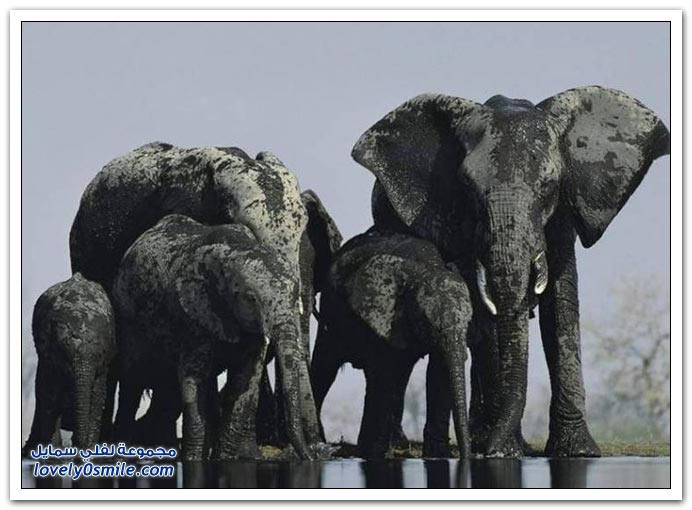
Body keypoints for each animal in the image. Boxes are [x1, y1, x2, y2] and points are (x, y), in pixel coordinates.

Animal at [23, 273, 116, 455]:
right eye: (63, 355)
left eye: (99, 354)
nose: (78, 445)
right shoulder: (48, 356)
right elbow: (50, 395)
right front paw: (53, 453)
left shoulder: (104, 362)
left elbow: (98, 396)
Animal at [111, 214, 318, 460]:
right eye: (251, 299)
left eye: (296, 295)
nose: (312, 458)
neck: (236, 250)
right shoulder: (193, 315)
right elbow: (194, 377)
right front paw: (192, 460)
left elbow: (245, 379)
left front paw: (225, 459)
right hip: (127, 315)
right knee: (132, 381)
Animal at [310, 227, 472, 459]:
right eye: (425, 320)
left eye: (469, 321)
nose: (466, 455)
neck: (425, 268)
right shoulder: (381, 314)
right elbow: (384, 373)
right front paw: (374, 454)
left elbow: (438, 372)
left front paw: (440, 455)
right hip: (331, 310)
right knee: (326, 366)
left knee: (400, 376)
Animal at [351, 86, 670, 457]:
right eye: (468, 187)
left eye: (549, 187)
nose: (494, 449)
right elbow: (486, 311)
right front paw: (503, 451)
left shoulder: (563, 213)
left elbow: (560, 304)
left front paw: (577, 451)